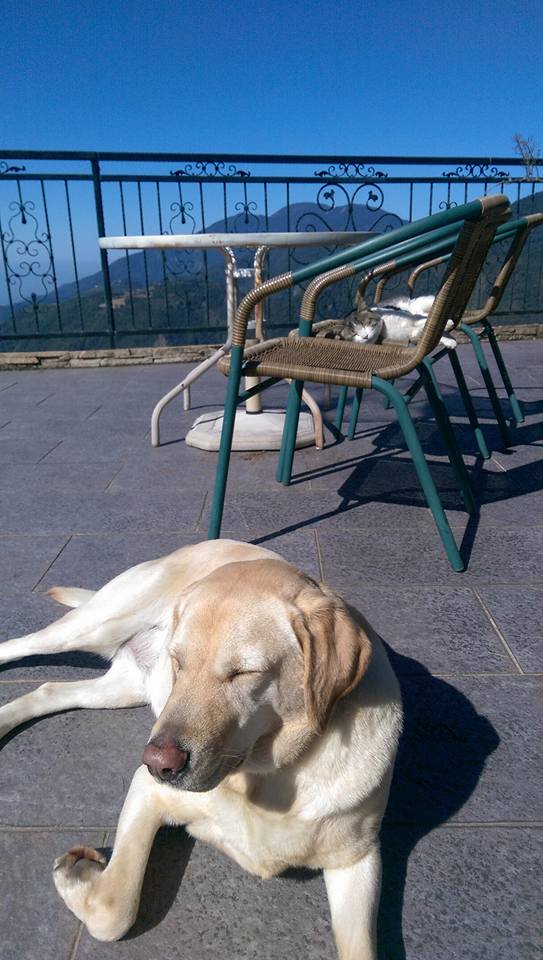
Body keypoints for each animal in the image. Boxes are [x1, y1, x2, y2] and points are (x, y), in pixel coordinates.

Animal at [0, 539, 403, 960]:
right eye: (178, 662)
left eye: (245, 672)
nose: (158, 764)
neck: (270, 776)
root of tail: (209, 542)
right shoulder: (148, 791)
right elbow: (115, 912)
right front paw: (75, 871)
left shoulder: (357, 862)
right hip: (93, 627)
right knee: (13, 646)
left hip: (121, 689)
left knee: (49, 691)